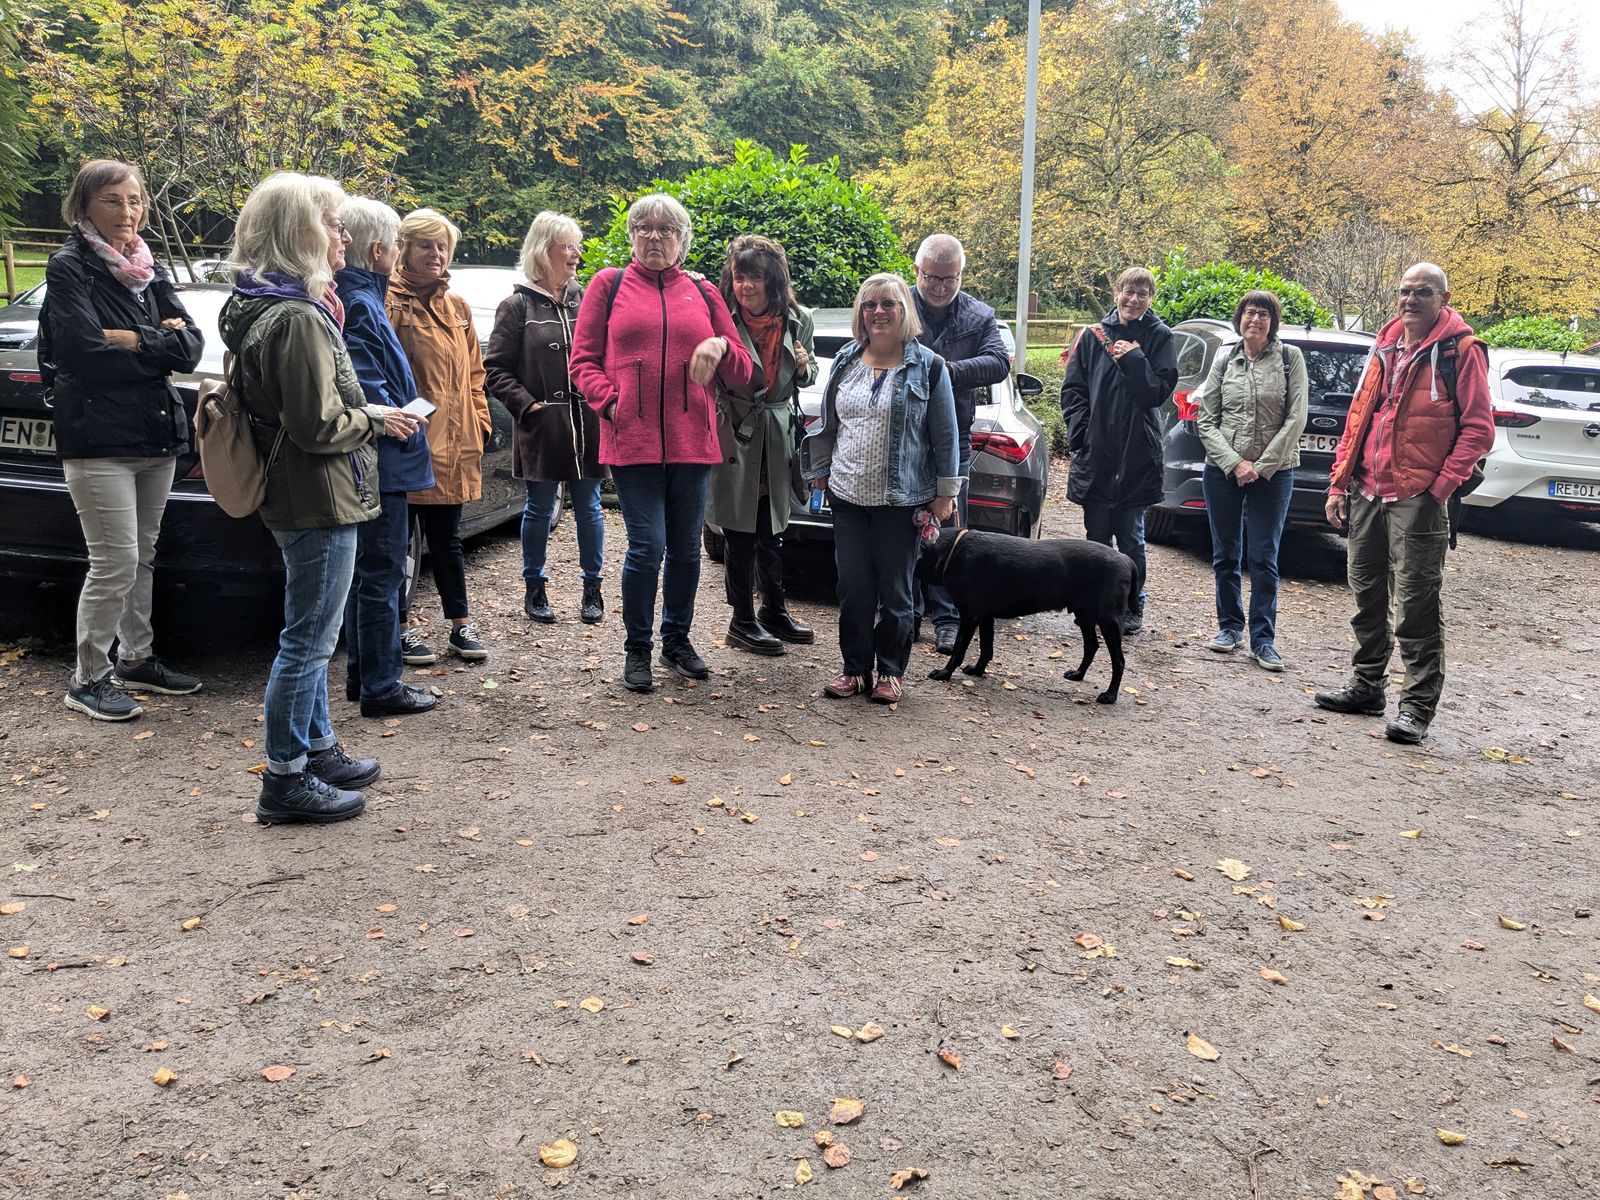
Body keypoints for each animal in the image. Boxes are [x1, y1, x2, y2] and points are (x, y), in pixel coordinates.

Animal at [915, 528, 1139, 704]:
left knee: (1119, 660)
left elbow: (958, 651)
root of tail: (1128, 560)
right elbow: (986, 649)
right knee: (1091, 645)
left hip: (1108, 621)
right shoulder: (985, 617)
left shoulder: (970, 617)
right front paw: (978, 670)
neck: (952, 551)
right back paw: (1078, 674)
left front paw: (944, 673)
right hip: (1084, 615)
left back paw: (1110, 695)